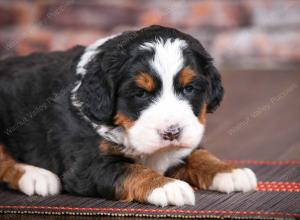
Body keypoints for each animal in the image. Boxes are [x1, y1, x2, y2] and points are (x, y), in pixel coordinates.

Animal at [0, 25, 255, 206]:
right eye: (140, 93)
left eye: (189, 89)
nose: (172, 132)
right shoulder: (86, 166)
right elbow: (129, 169)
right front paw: (166, 186)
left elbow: (198, 154)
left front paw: (229, 171)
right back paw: (36, 176)